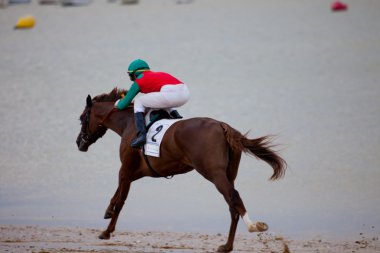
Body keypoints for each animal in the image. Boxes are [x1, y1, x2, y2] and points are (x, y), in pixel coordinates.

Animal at [75, 88, 286, 252]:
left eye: (81, 118)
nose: (79, 142)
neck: (129, 123)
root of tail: (223, 126)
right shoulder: (138, 171)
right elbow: (117, 193)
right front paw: (108, 210)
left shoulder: (126, 168)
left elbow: (121, 200)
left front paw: (106, 231)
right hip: (229, 174)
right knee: (231, 204)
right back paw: (227, 246)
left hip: (214, 173)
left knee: (234, 198)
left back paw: (253, 226)